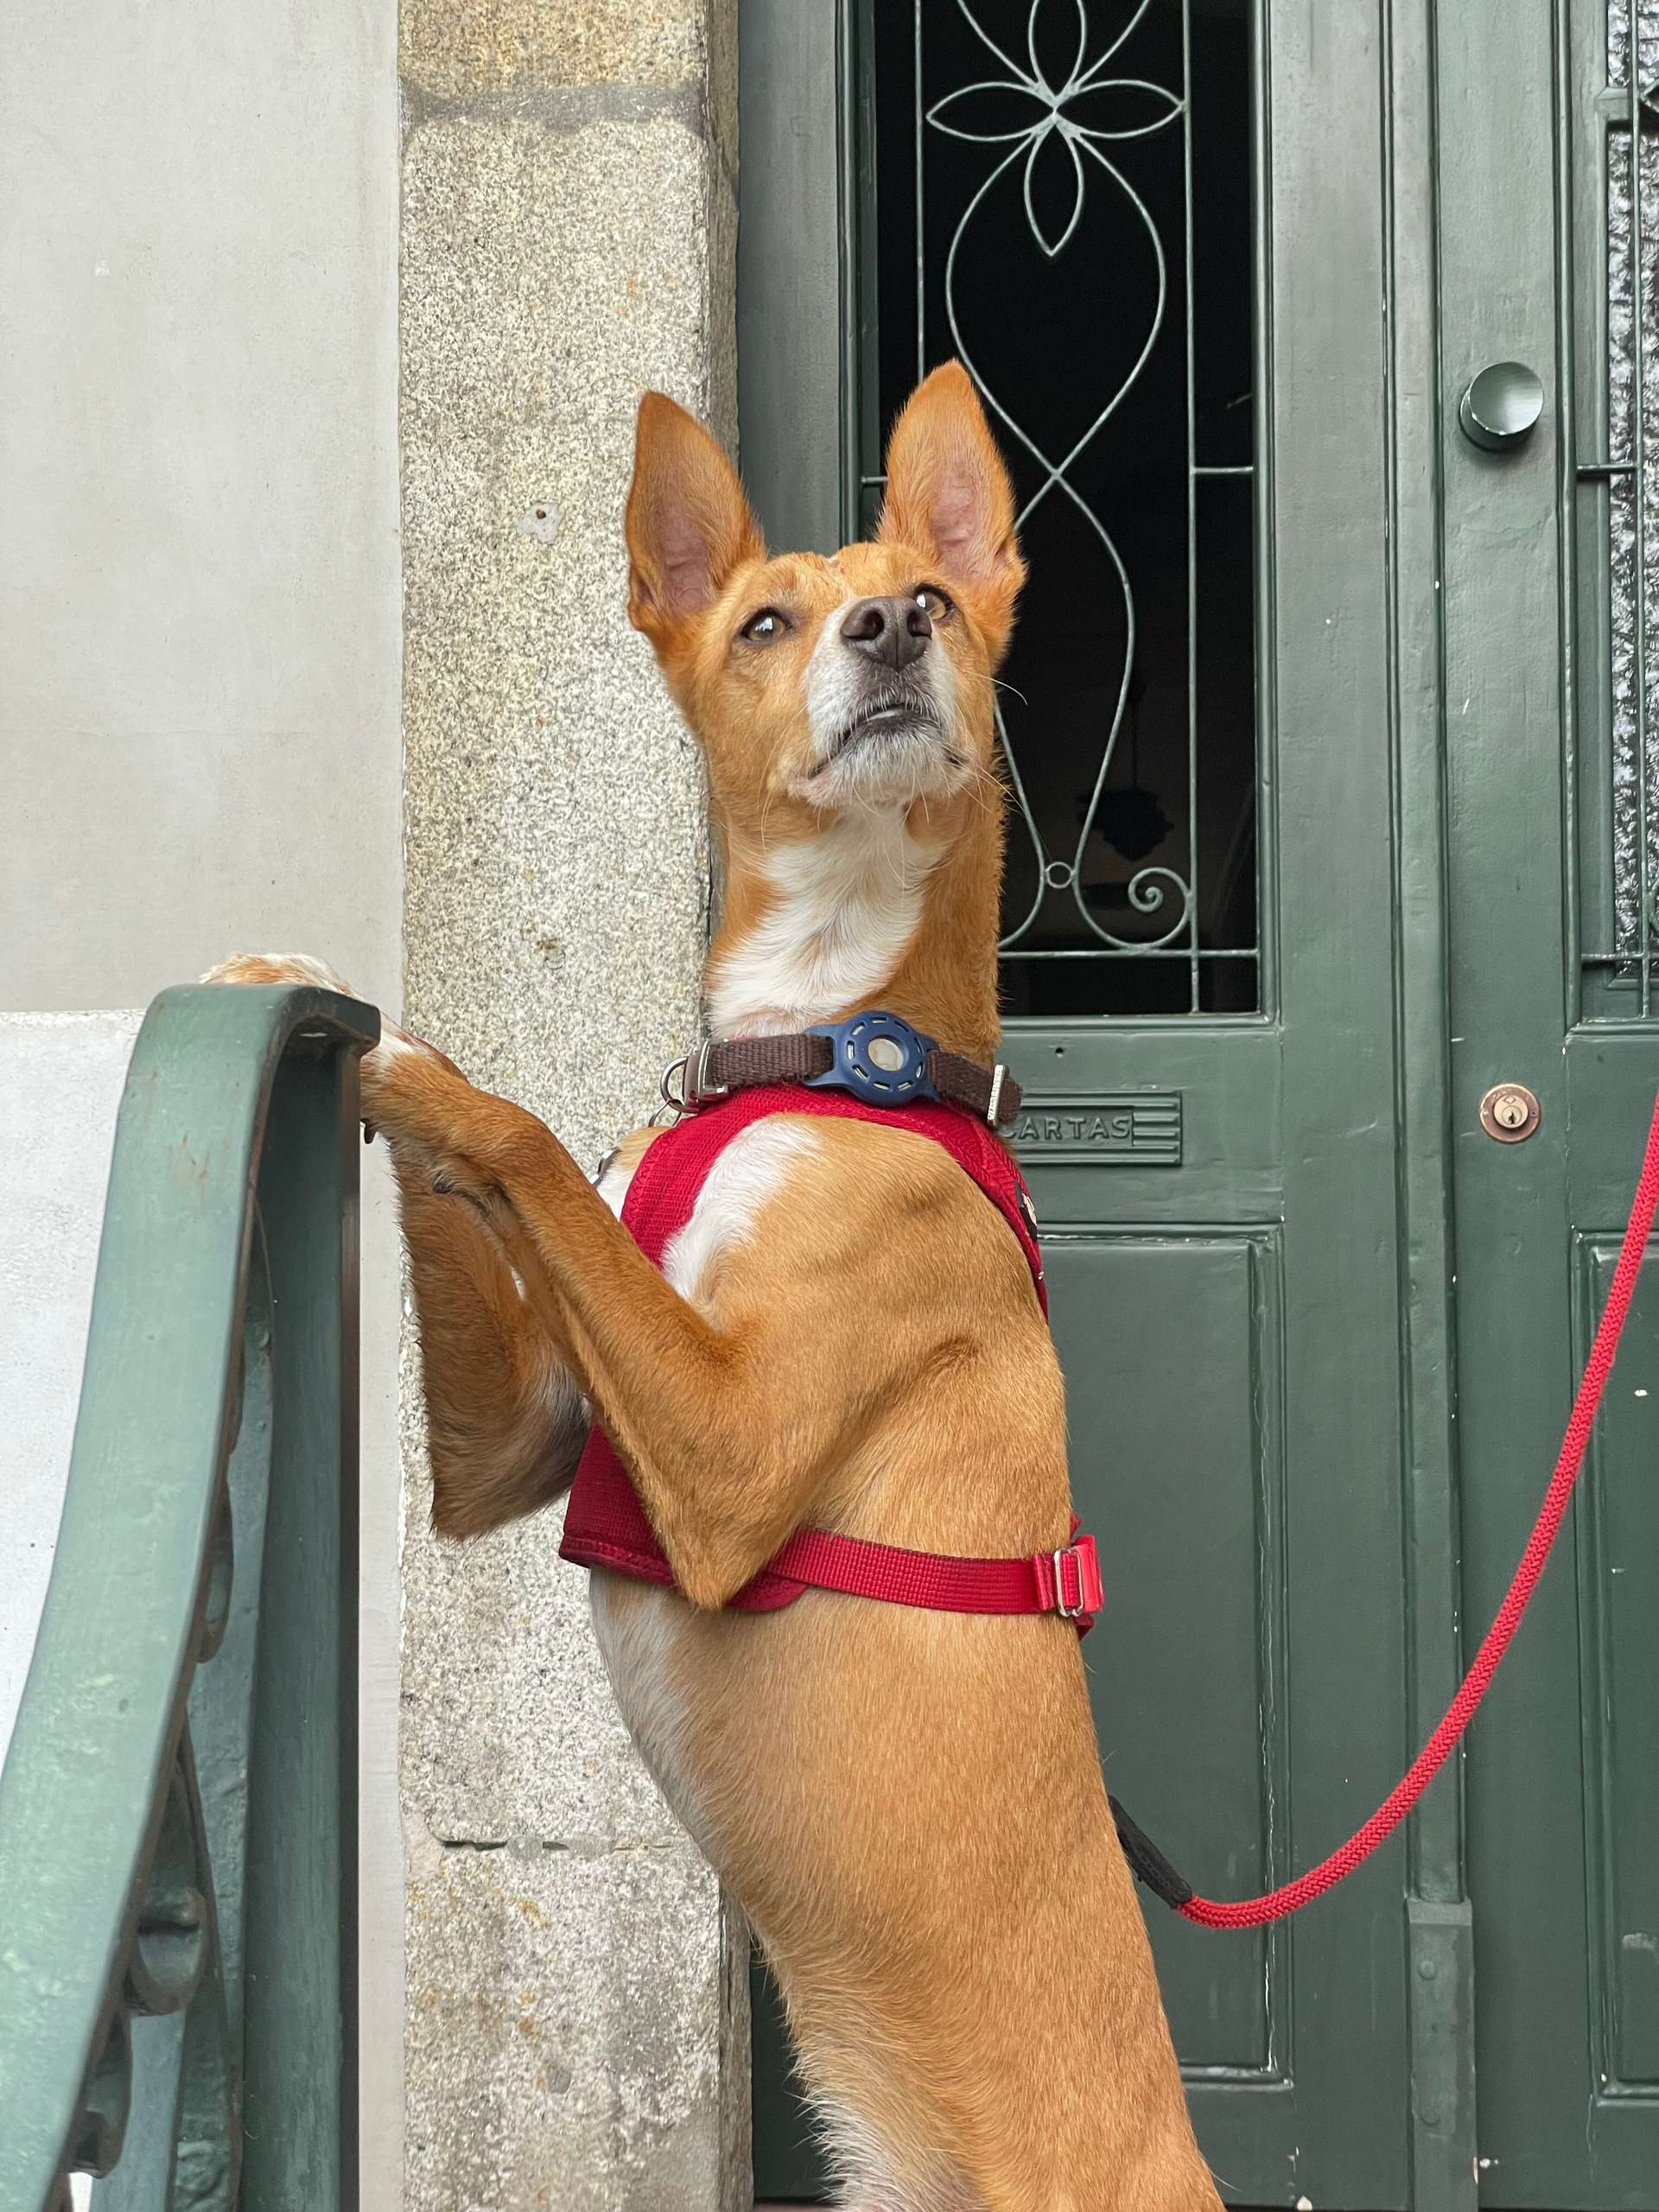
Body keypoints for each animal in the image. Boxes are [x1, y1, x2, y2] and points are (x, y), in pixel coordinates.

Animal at [204, 366, 1221, 2212]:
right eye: (766, 619)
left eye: (939, 596)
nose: (893, 628)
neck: (819, 1048)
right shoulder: (524, 1441)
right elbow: (493, 1208)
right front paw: (344, 1015)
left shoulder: (730, 1459)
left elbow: (520, 1134)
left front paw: (436, 1072)